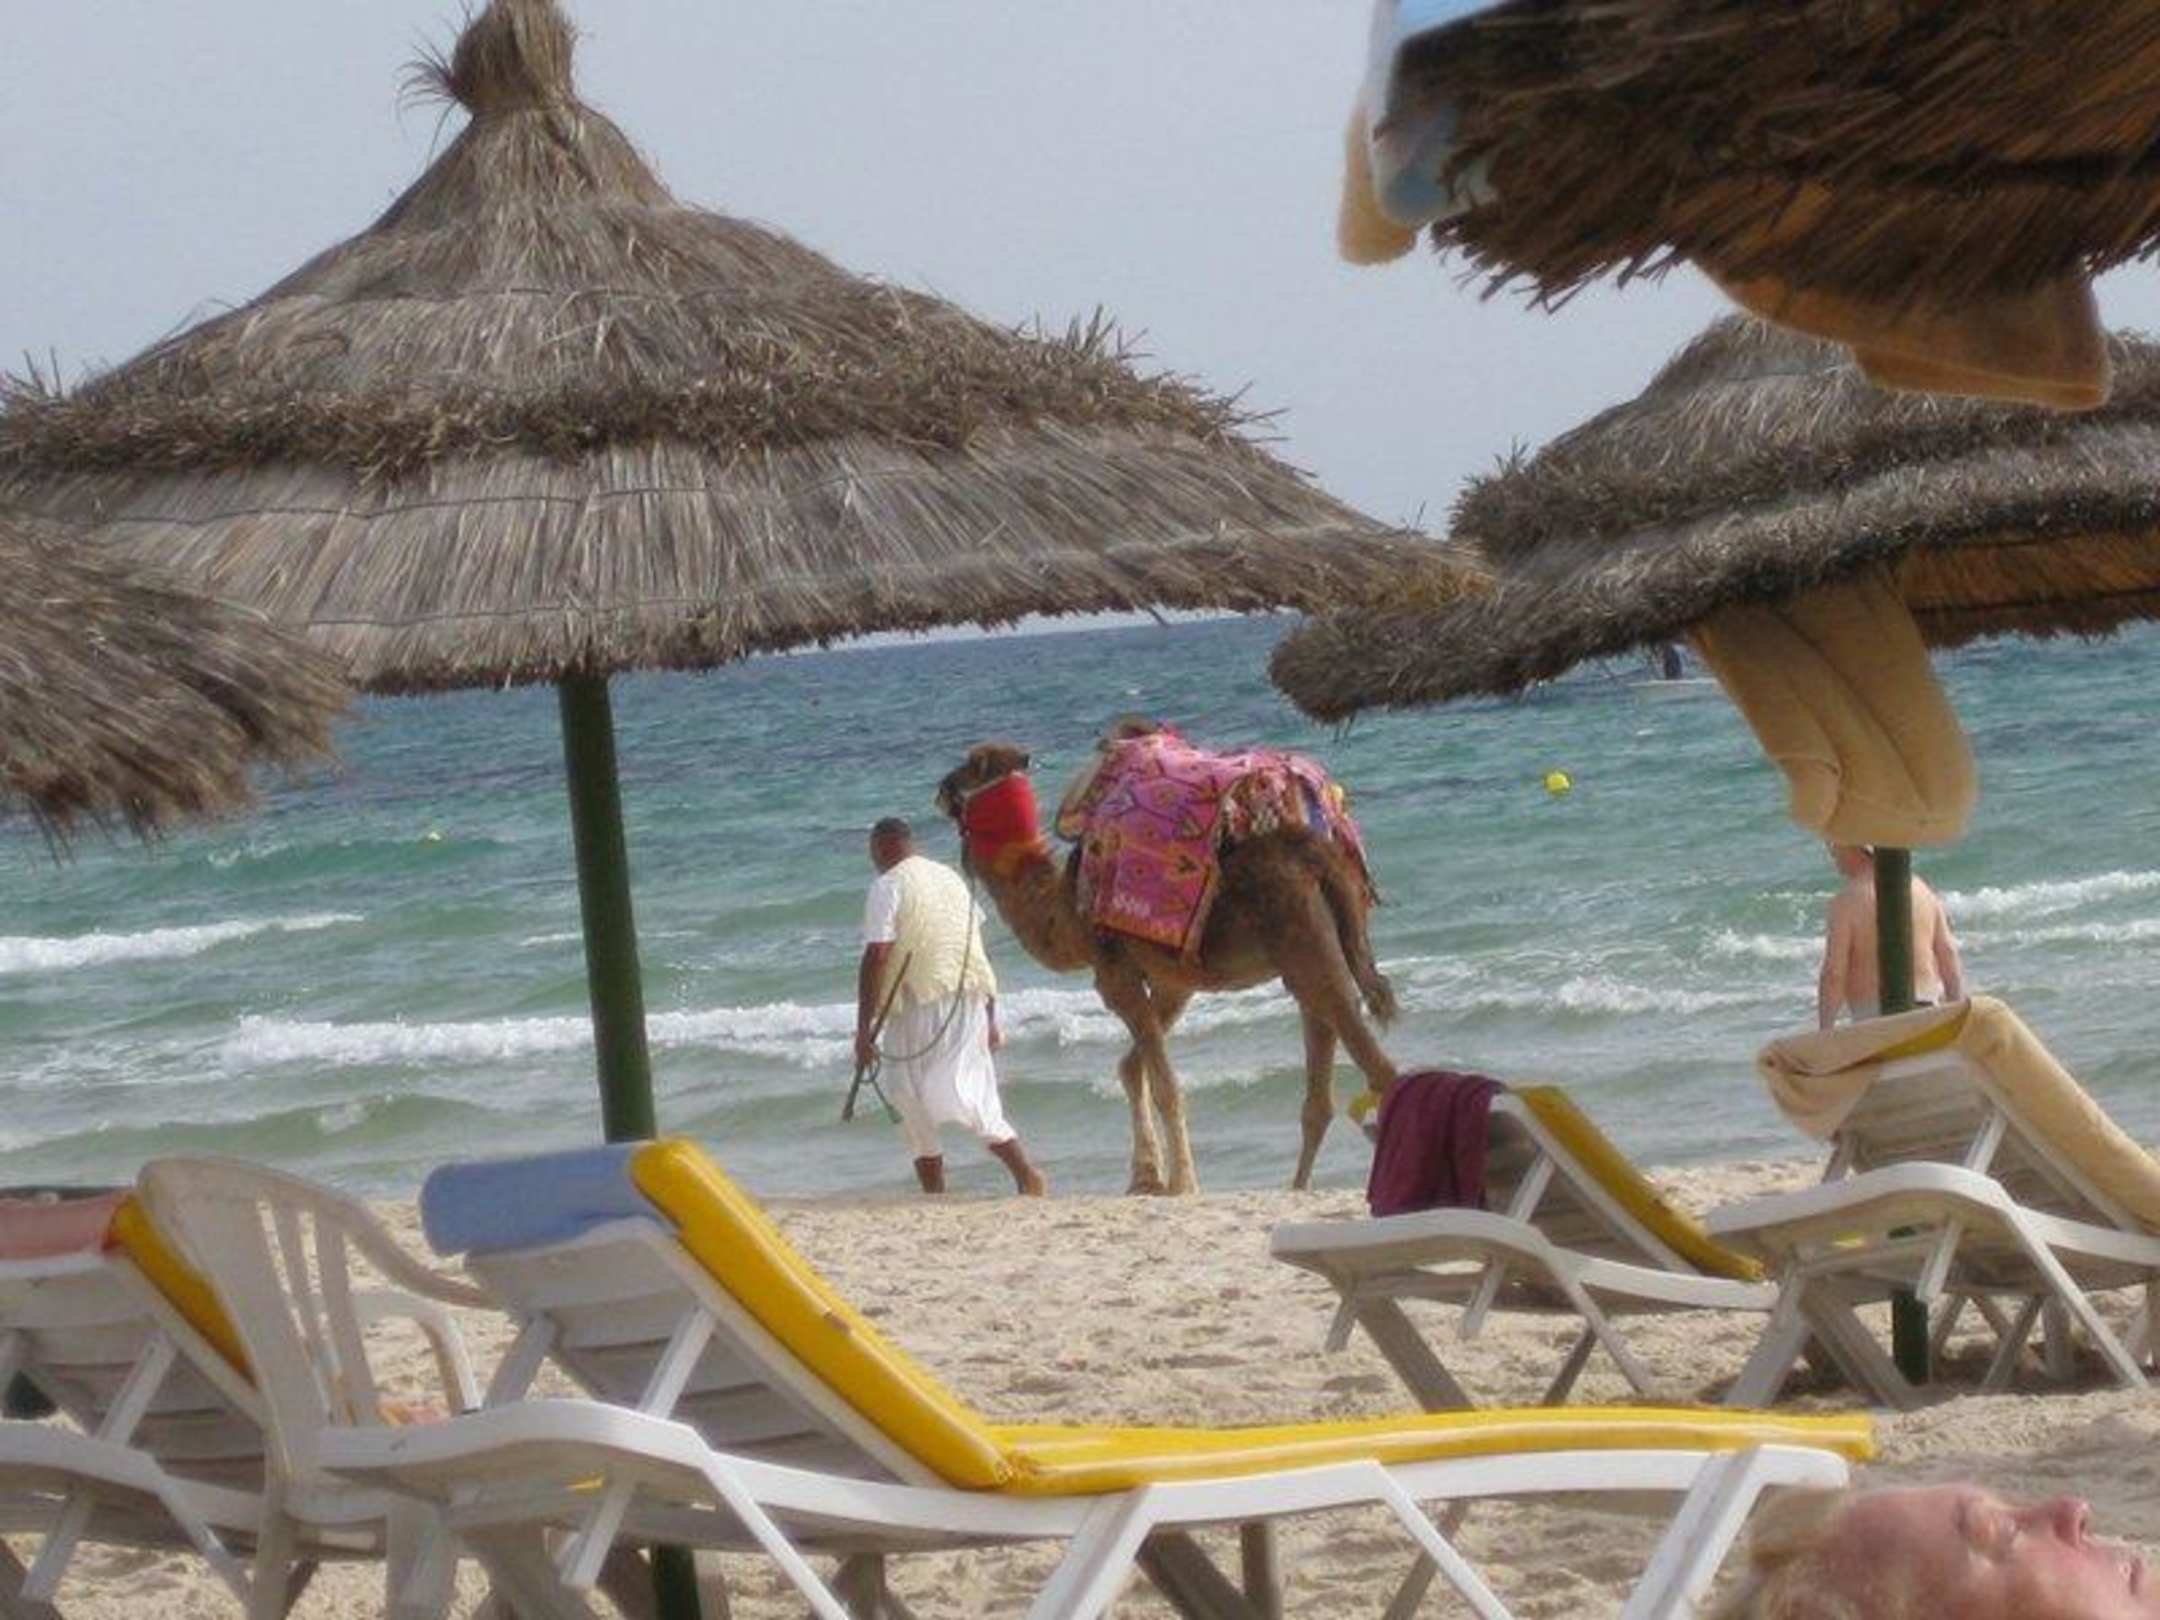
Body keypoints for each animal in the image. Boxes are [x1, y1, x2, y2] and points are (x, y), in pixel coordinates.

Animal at [934, 739, 1399, 1194]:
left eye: (973, 765)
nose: (939, 789)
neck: (1065, 912)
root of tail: (1320, 855)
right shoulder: (1175, 982)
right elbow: (1132, 1068)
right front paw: (1146, 1178)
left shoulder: (1116, 976)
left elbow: (1165, 1085)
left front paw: (1182, 1184)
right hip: (1315, 948)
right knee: (1320, 1091)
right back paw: (1299, 1187)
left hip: (1305, 946)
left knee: (1376, 1065)